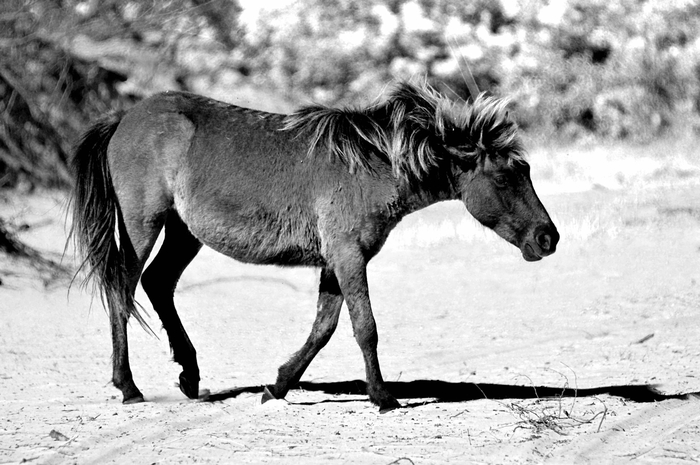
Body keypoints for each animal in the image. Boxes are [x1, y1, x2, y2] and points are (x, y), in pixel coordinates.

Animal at [69, 80, 559, 411]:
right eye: (505, 176)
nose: (547, 237)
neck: (373, 163)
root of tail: (124, 118)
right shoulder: (348, 256)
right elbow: (365, 327)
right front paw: (383, 397)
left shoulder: (337, 261)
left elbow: (323, 328)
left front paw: (277, 386)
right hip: (143, 225)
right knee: (123, 290)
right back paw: (129, 387)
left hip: (182, 232)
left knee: (157, 283)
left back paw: (190, 376)